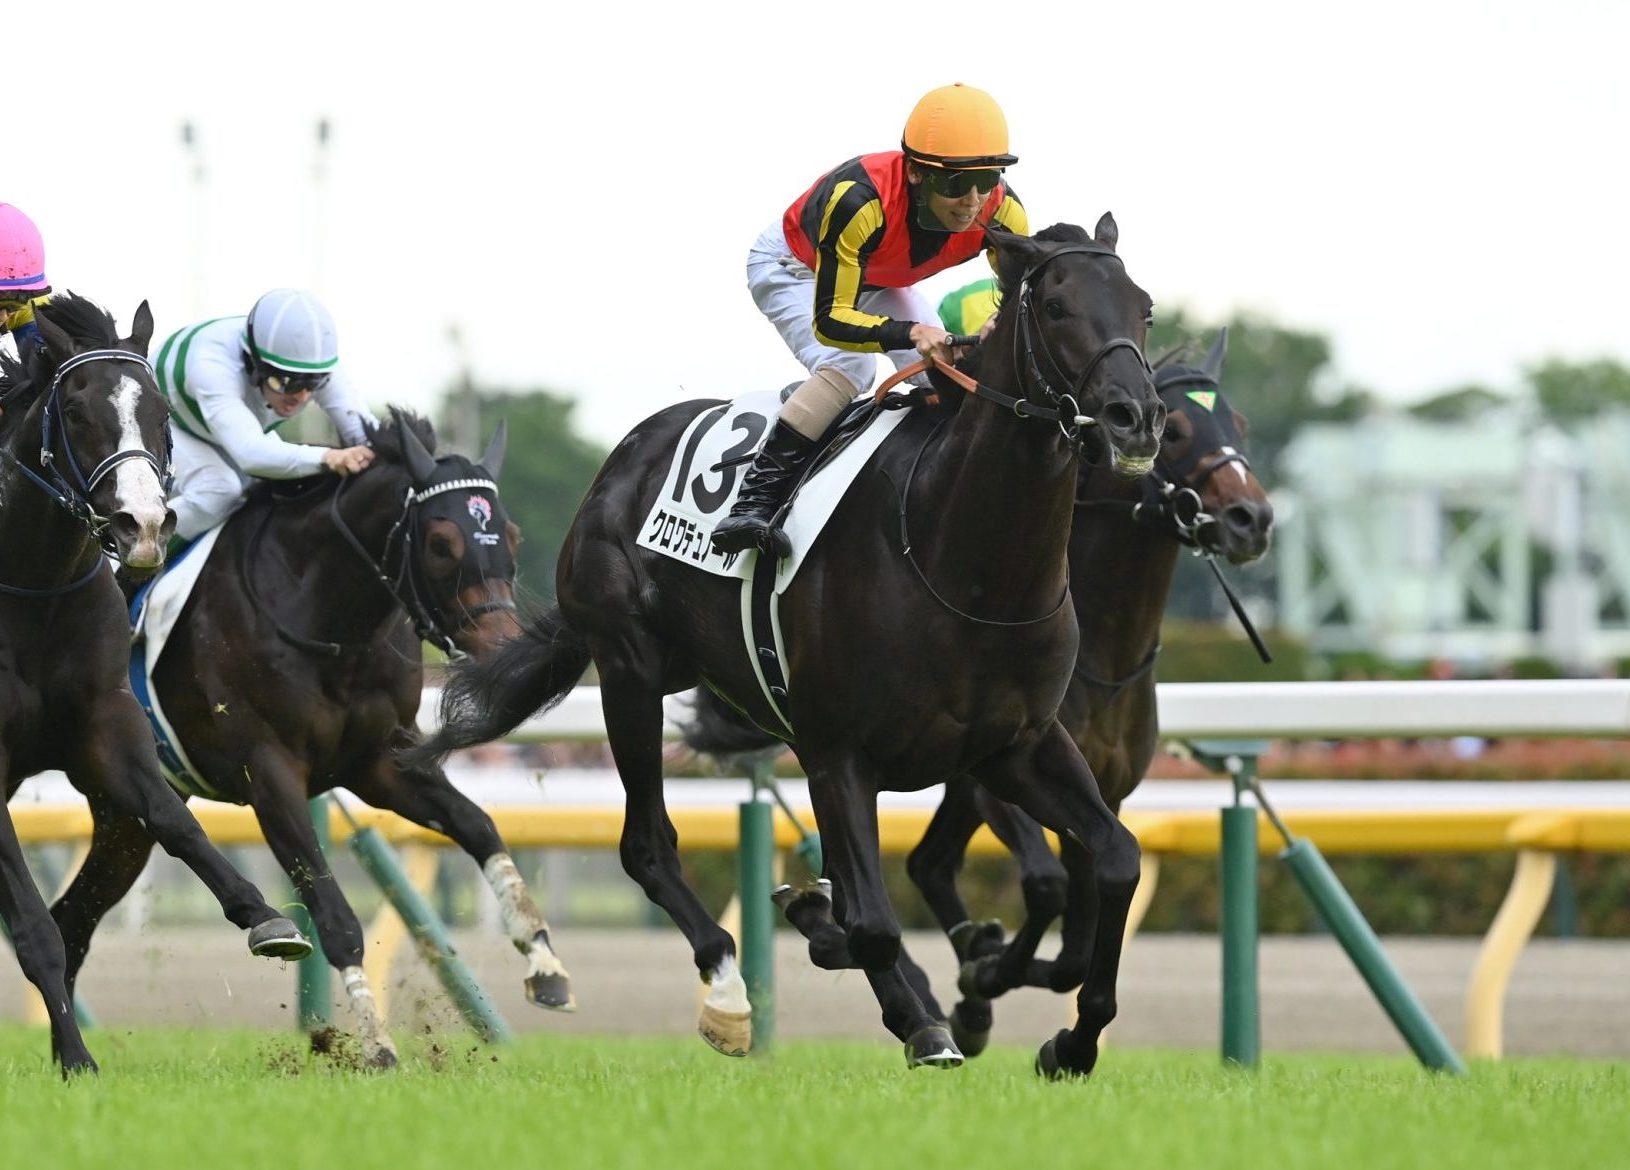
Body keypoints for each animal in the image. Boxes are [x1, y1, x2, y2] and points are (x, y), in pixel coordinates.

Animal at [0, 294, 311, 1075]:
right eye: (74, 409)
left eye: (160, 412)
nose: (140, 523)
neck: (31, 587)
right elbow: (35, 930)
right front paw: (76, 1057)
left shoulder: (105, 723)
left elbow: (174, 819)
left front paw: (266, 918)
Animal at [49, 408, 574, 1068]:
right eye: (440, 543)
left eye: (512, 535)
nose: (504, 649)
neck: (325, 618)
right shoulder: (269, 775)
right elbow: (335, 915)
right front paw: (376, 1045)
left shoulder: (380, 761)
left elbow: (479, 827)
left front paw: (545, 963)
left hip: (126, 815)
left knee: (71, 920)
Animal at [408, 216, 1166, 1077]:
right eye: (1059, 307)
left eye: (1143, 307)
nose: (1136, 417)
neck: (965, 564)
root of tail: (621, 461)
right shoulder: (839, 753)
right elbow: (873, 923)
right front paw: (912, 1007)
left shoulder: (1016, 746)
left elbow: (1114, 856)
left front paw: (1071, 1039)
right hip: (630, 671)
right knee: (647, 848)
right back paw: (732, 997)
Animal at [686, 331, 1275, 1055]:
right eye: (1181, 428)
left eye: (1239, 422)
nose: (1251, 518)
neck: (1104, 654)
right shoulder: (995, 781)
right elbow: (1047, 887)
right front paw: (983, 977)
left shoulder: (1092, 788)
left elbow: (1078, 930)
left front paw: (997, 977)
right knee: (913, 871)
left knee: (926, 865)